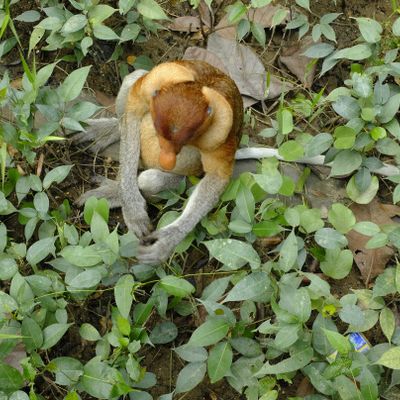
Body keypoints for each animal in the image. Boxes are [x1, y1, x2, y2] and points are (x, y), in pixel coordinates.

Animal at [76, 61, 242, 264]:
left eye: (181, 142)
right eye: (160, 134)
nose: (166, 160)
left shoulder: (222, 125)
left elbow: (218, 175)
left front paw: (167, 241)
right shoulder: (159, 77)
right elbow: (133, 109)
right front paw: (133, 211)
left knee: (150, 179)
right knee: (133, 81)